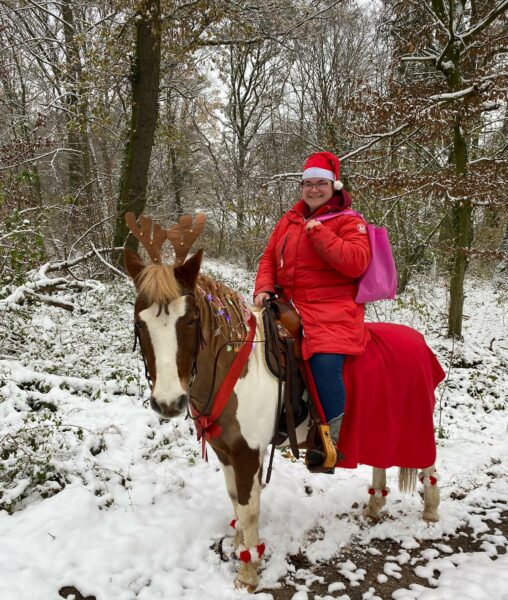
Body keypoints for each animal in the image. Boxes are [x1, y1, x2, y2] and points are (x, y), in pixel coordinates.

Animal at [123, 212, 444, 592]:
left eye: (188, 320)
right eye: (139, 322)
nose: (169, 402)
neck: (236, 366)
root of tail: (420, 341)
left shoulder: (248, 452)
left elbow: (249, 508)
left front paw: (248, 571)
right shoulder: (225, 450)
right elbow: (235, 499)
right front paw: (239, 546)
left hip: (417, 423)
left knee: (428, 466)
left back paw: (430, 513)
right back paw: (374, 506)